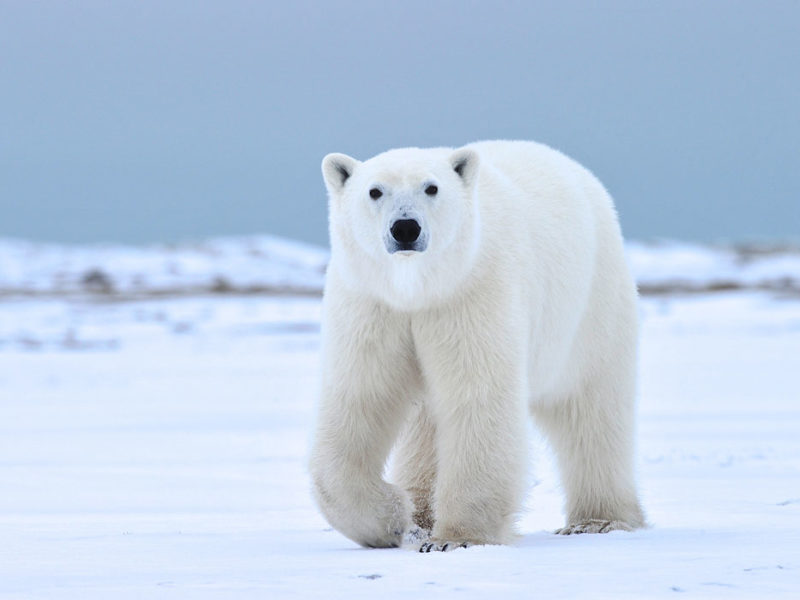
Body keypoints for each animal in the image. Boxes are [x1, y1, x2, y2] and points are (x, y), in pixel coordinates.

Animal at [310, 139, 648, 548]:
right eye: (375, 191)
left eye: (432, 187)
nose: (405, 228)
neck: (419, 290)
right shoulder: (371, 305)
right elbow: (360, 398)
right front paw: (393, 518)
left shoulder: (472, 294)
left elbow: (478, 398)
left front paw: (456, 538)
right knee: (426, 426)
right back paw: (421, 515)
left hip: (591, 311)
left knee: (591, 410)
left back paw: (599, 520)